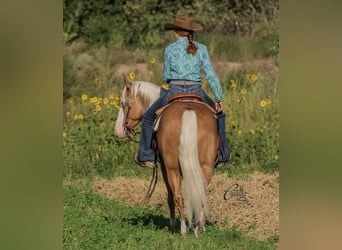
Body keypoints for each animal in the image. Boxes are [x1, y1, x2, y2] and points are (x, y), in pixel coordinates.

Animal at [115, 74, 219, 236]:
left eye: (122, 103)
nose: (118, 130)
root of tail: (188, 110)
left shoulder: (164, 166)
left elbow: (170, 196)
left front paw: (172, 224)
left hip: (172, 168)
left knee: (177, 196)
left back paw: (183, 229)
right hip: (205, 166)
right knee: (200, 193)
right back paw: (197, 228)